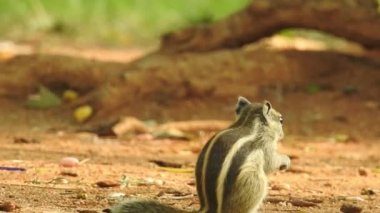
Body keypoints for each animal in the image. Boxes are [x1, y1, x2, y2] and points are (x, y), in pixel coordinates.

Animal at [104, 97, 290, 213]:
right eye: (281, 120)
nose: (283, 135)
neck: (249, 123)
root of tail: (210, 208)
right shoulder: (265, 147)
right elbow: (271, 162)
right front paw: (286, 160)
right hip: (255, 182)